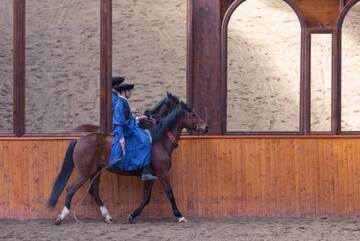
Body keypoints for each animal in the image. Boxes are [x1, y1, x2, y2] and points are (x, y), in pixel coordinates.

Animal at [46, 100, 208, 225]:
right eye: (193, 114)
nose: (205, 127)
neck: (160, 140)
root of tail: (79, 140)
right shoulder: (162, 173)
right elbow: (169, 194)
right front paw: (180, 216)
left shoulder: (151, 176)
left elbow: (146, 197)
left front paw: (132, 215)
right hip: (85, 173)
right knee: (70, 190)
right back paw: (61, 217)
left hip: (95, 172)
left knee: (94, 192)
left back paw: (107, 216)